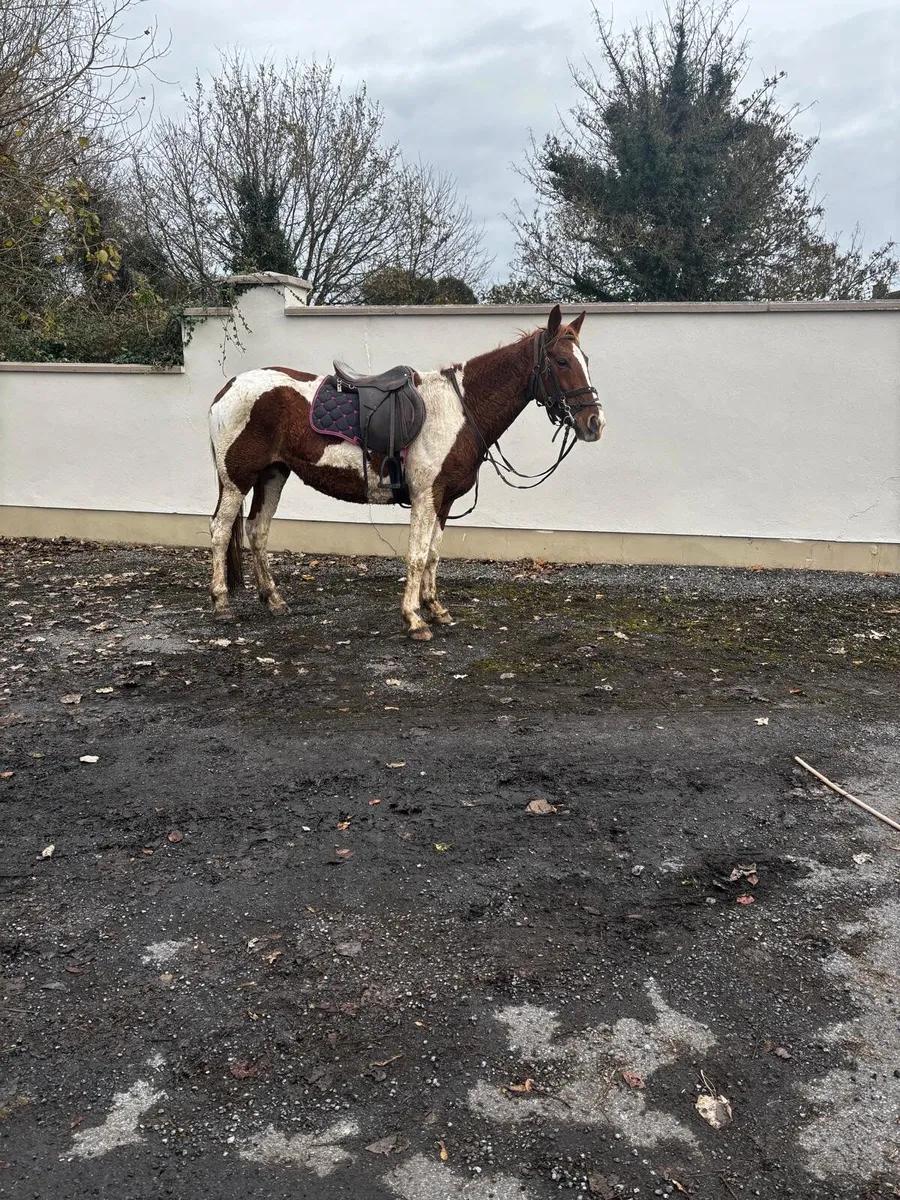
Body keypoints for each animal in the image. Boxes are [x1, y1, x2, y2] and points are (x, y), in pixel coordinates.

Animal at [207, 304, 605, 640]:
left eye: (586, 359)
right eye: (561, 361)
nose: (595, 423)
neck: (460, 410)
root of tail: (228, 388)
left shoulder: (443, 501)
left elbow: (433, 553)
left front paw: (436, 609)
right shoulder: (425, 496)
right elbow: (415, 555)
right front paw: (414, 620)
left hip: (273, 474)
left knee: (257, 531)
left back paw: (274, 600)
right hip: (236, 479)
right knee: (220, 531)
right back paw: (221, 603)